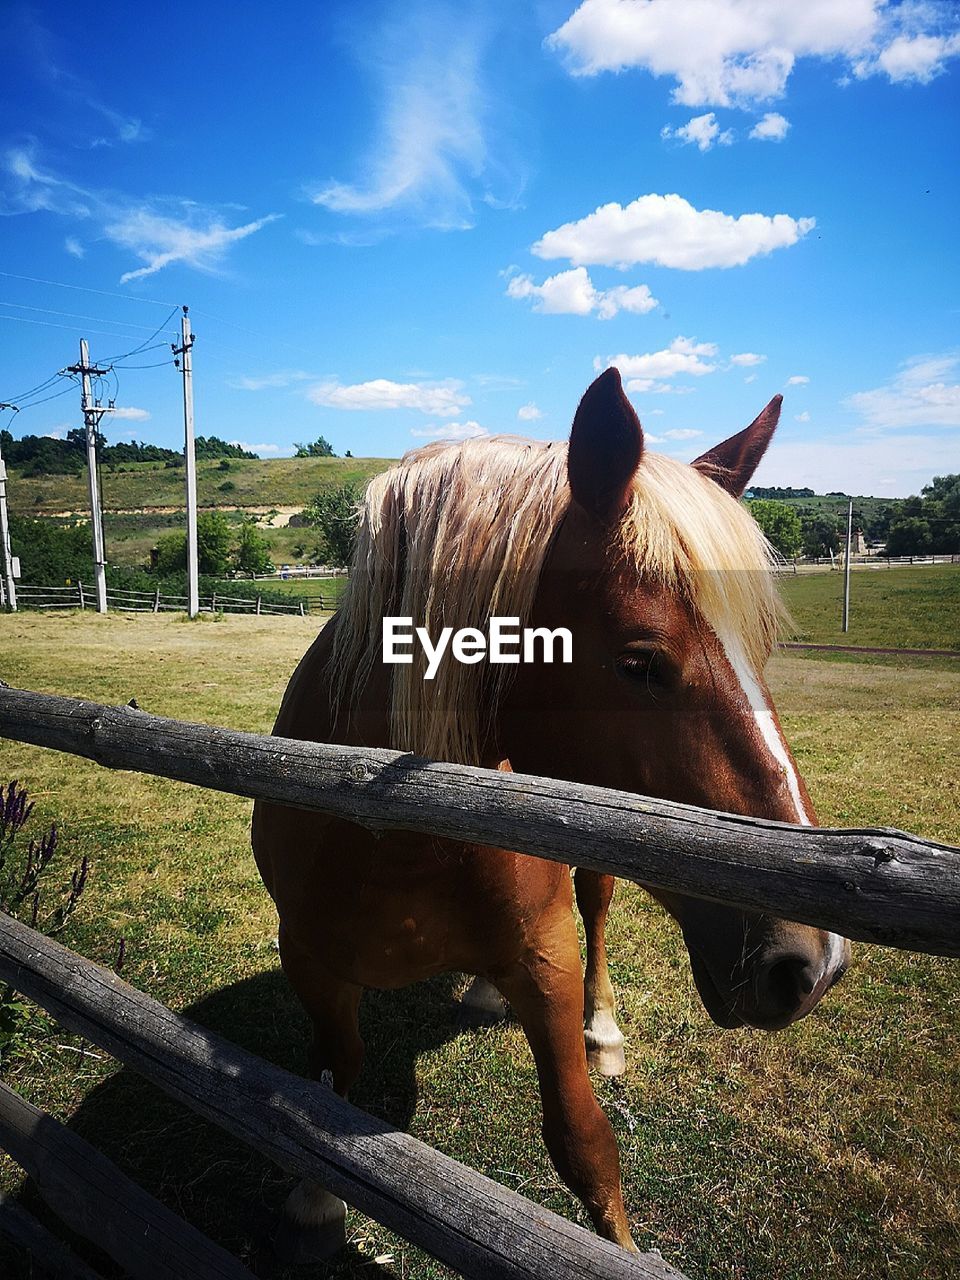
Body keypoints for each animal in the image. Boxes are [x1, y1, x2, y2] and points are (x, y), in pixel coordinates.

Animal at [252, 371, 855, 1259]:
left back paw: (603, 1028)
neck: (382, 825)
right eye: (639, 662)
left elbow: (584, 1141)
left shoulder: (548, 963)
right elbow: (331, 1081)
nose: (812, 963)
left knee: (598, 913)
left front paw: (622, 1252)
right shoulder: (309, 960)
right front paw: (315, 1194)